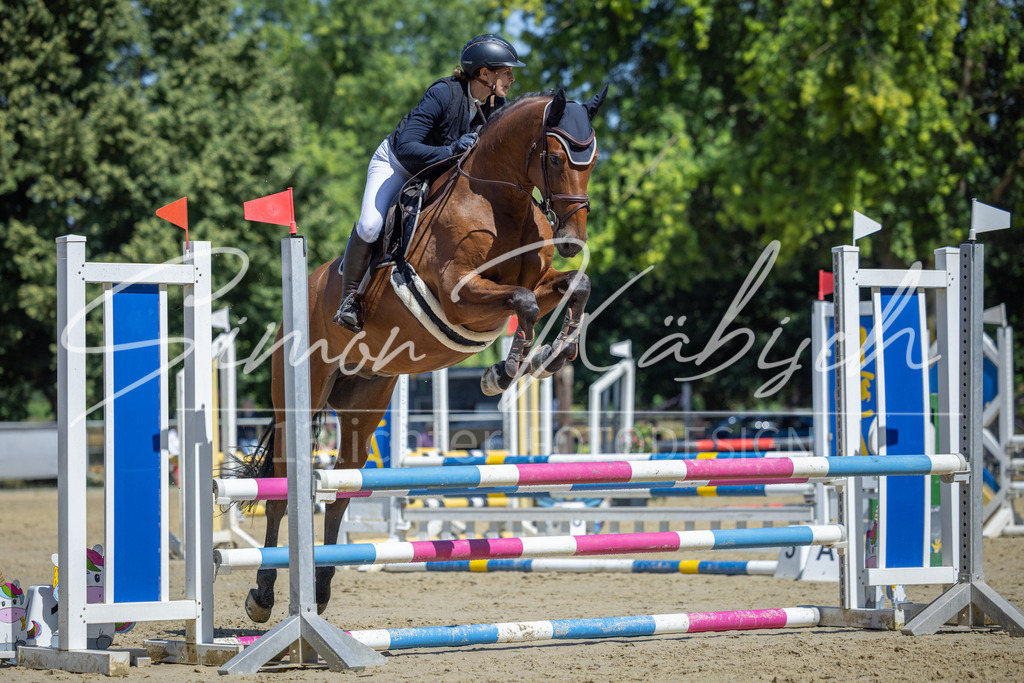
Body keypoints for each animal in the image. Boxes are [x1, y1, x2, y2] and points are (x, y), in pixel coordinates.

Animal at [240, 86, 607, 623]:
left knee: (342, 490)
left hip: (365, 403)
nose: (573, 240)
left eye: (593, 160)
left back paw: (321, 591)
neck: (504, 201)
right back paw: (263, 597)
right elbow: (522, 301)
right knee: (279, 493)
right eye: (557, 158)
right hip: (298, 400)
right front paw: (503, 370)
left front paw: (553, 356)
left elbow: (574, 287)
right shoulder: (458, 293)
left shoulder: (537, 282)